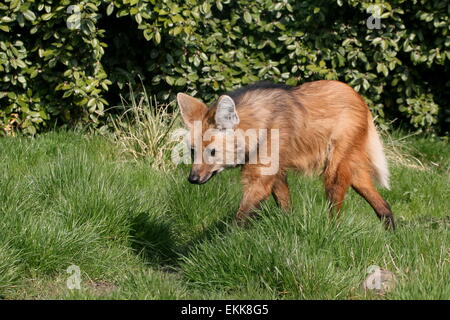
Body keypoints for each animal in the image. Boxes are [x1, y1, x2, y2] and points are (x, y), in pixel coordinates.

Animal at [178, 80, 396, 230]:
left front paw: (226, 247)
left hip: (334, 166)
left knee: (335, 199)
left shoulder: (261, 175)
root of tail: (357, 96)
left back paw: (332, 230)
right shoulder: (275, 170)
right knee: (381, 202)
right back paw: (391, 233)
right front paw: (288, 227)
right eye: (193, 151)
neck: (260, 128)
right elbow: (284, 204)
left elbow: (242, 216)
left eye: (212, 152)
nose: (193, 178)